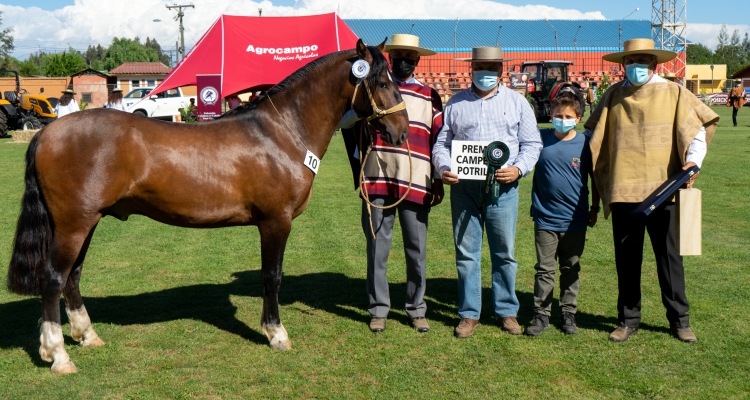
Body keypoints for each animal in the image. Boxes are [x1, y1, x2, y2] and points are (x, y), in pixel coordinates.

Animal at [5, 39, 408, 374]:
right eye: (382, 82)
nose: (401, 131)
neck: (281, 133)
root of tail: (46, 133)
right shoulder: (276, 222)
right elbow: (272, 276)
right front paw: (276, 334)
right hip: (73, 224)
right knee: (52, 278)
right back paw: (58, 355)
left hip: (86, 222)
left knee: (72, 276)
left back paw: (87, 336)